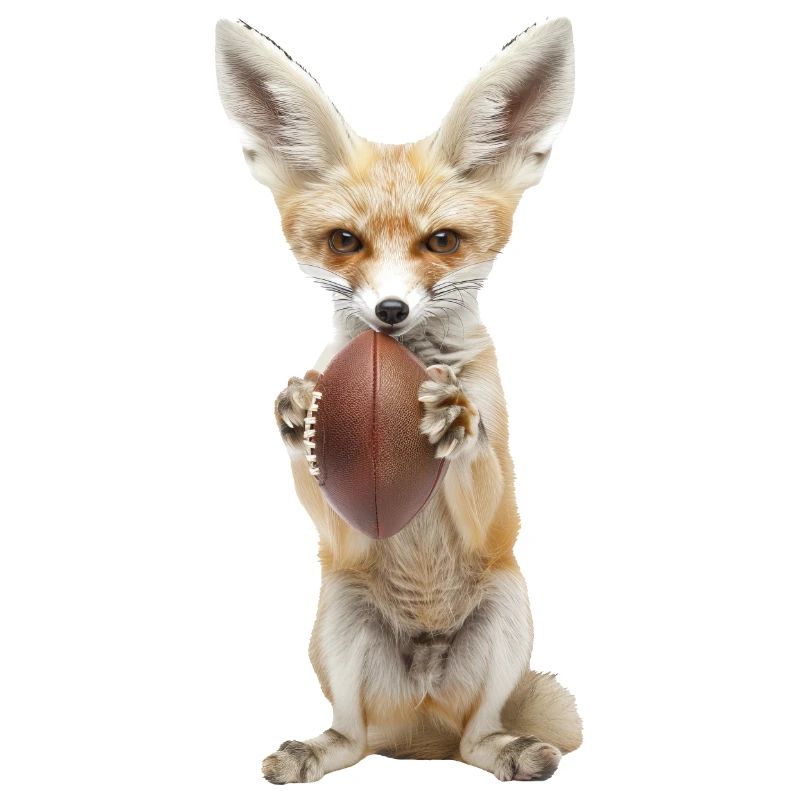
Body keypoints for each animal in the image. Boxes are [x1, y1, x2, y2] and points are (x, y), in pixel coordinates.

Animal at [215, 17, 581, 783]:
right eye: (344, 242)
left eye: (441, 241)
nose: (389, 312)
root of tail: (420, 730)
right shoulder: (345, 536)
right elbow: (327, 501)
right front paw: (298, 413)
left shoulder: (494, 518)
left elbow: (483, 474)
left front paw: (456, 419)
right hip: (340, 616)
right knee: (353, 738)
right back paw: (315, 749)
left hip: (509, 609)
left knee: (476, 741)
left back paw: (509, 750)